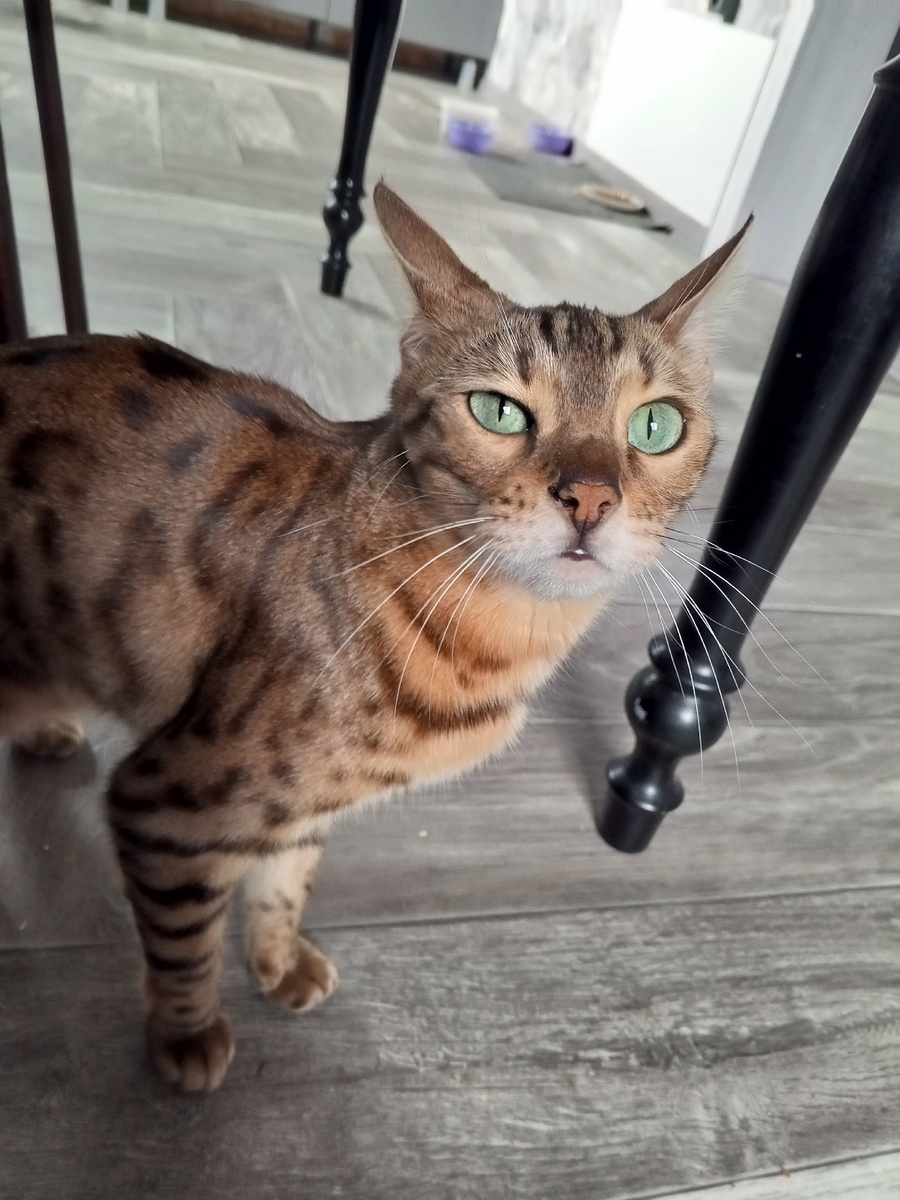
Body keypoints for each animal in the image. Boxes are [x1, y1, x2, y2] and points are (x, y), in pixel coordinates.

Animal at [0, 182, 748, 1091]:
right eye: (498, 411)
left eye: (655, 427)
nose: (592, 498)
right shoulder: (163, 798)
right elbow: (184, 942)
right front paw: (187, 1032)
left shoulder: (292, 802)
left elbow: (289, 873)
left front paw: (277, 959)